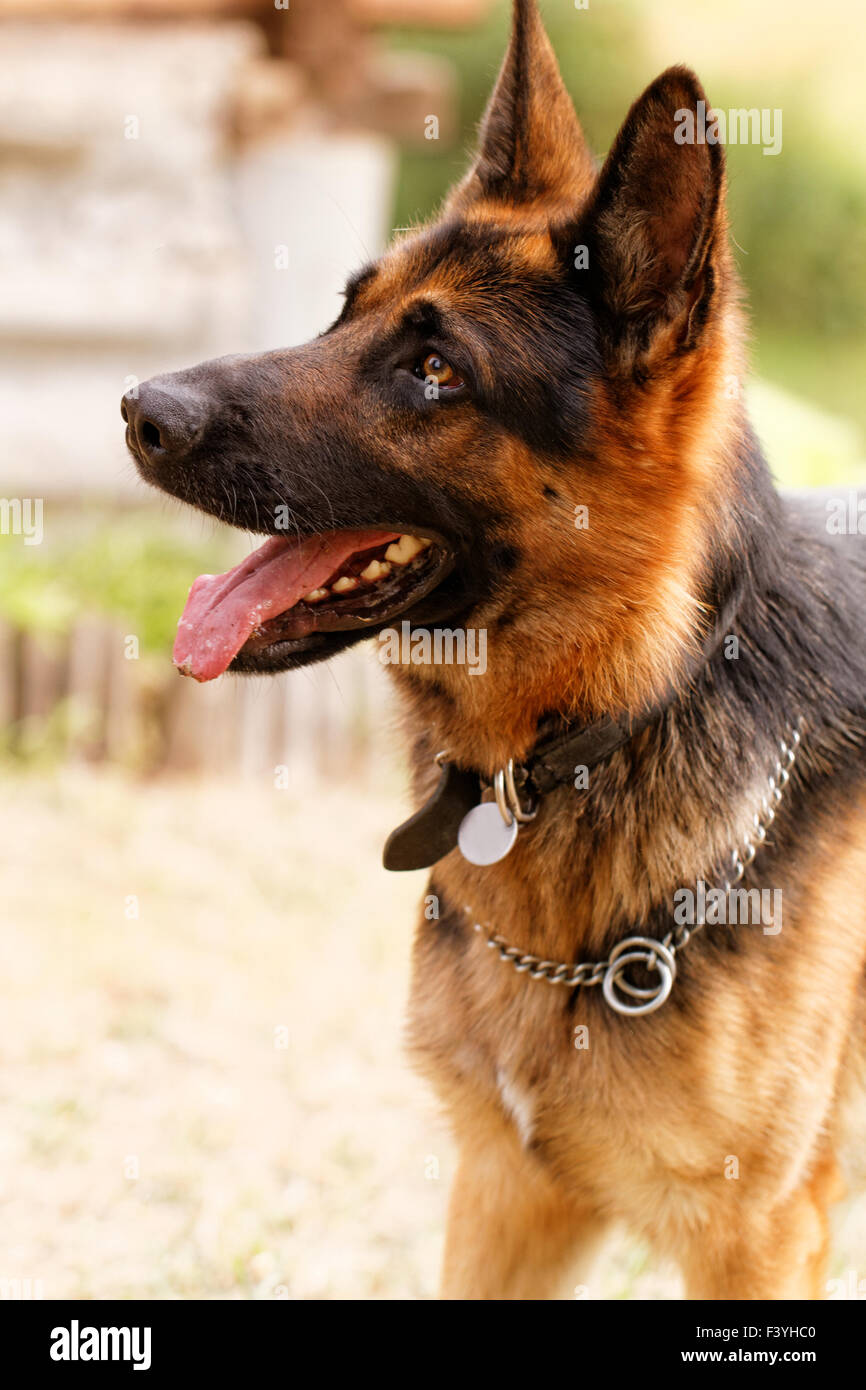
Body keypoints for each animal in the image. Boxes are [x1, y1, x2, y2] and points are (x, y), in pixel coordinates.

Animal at [123, 2, 866, 1301]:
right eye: (343, 310)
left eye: (436, 372)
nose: (137, 413)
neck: (612, 717)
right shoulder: (505, 1193)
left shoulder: (759, 1240)